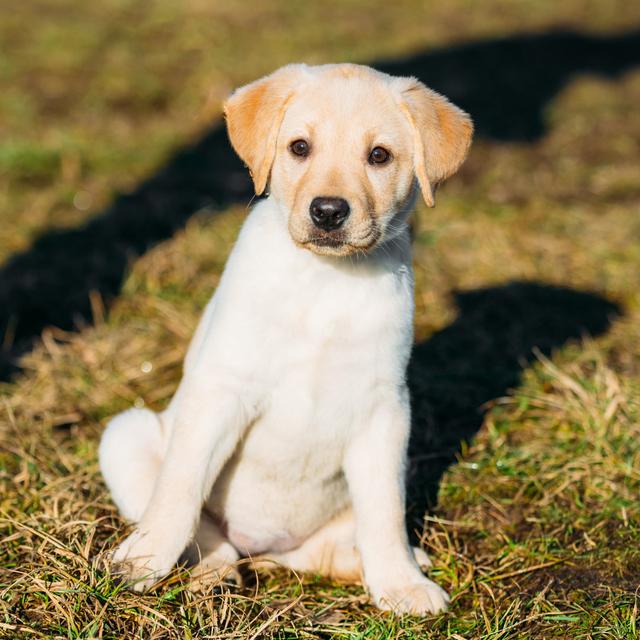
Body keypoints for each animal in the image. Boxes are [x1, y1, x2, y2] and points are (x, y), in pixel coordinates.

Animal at [99, 63, 470, 616]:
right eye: (299, 147)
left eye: (379, 156)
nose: (329, 212)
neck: (326, 279)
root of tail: (267, 550)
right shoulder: (224, 390)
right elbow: (180, 489)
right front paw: (142, 560)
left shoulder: (384, 408)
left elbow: (385, 510)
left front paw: (401, 584)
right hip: (126, 435)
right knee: (207, 534)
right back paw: (212, 575)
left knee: (335, 546)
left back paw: (387, 563)